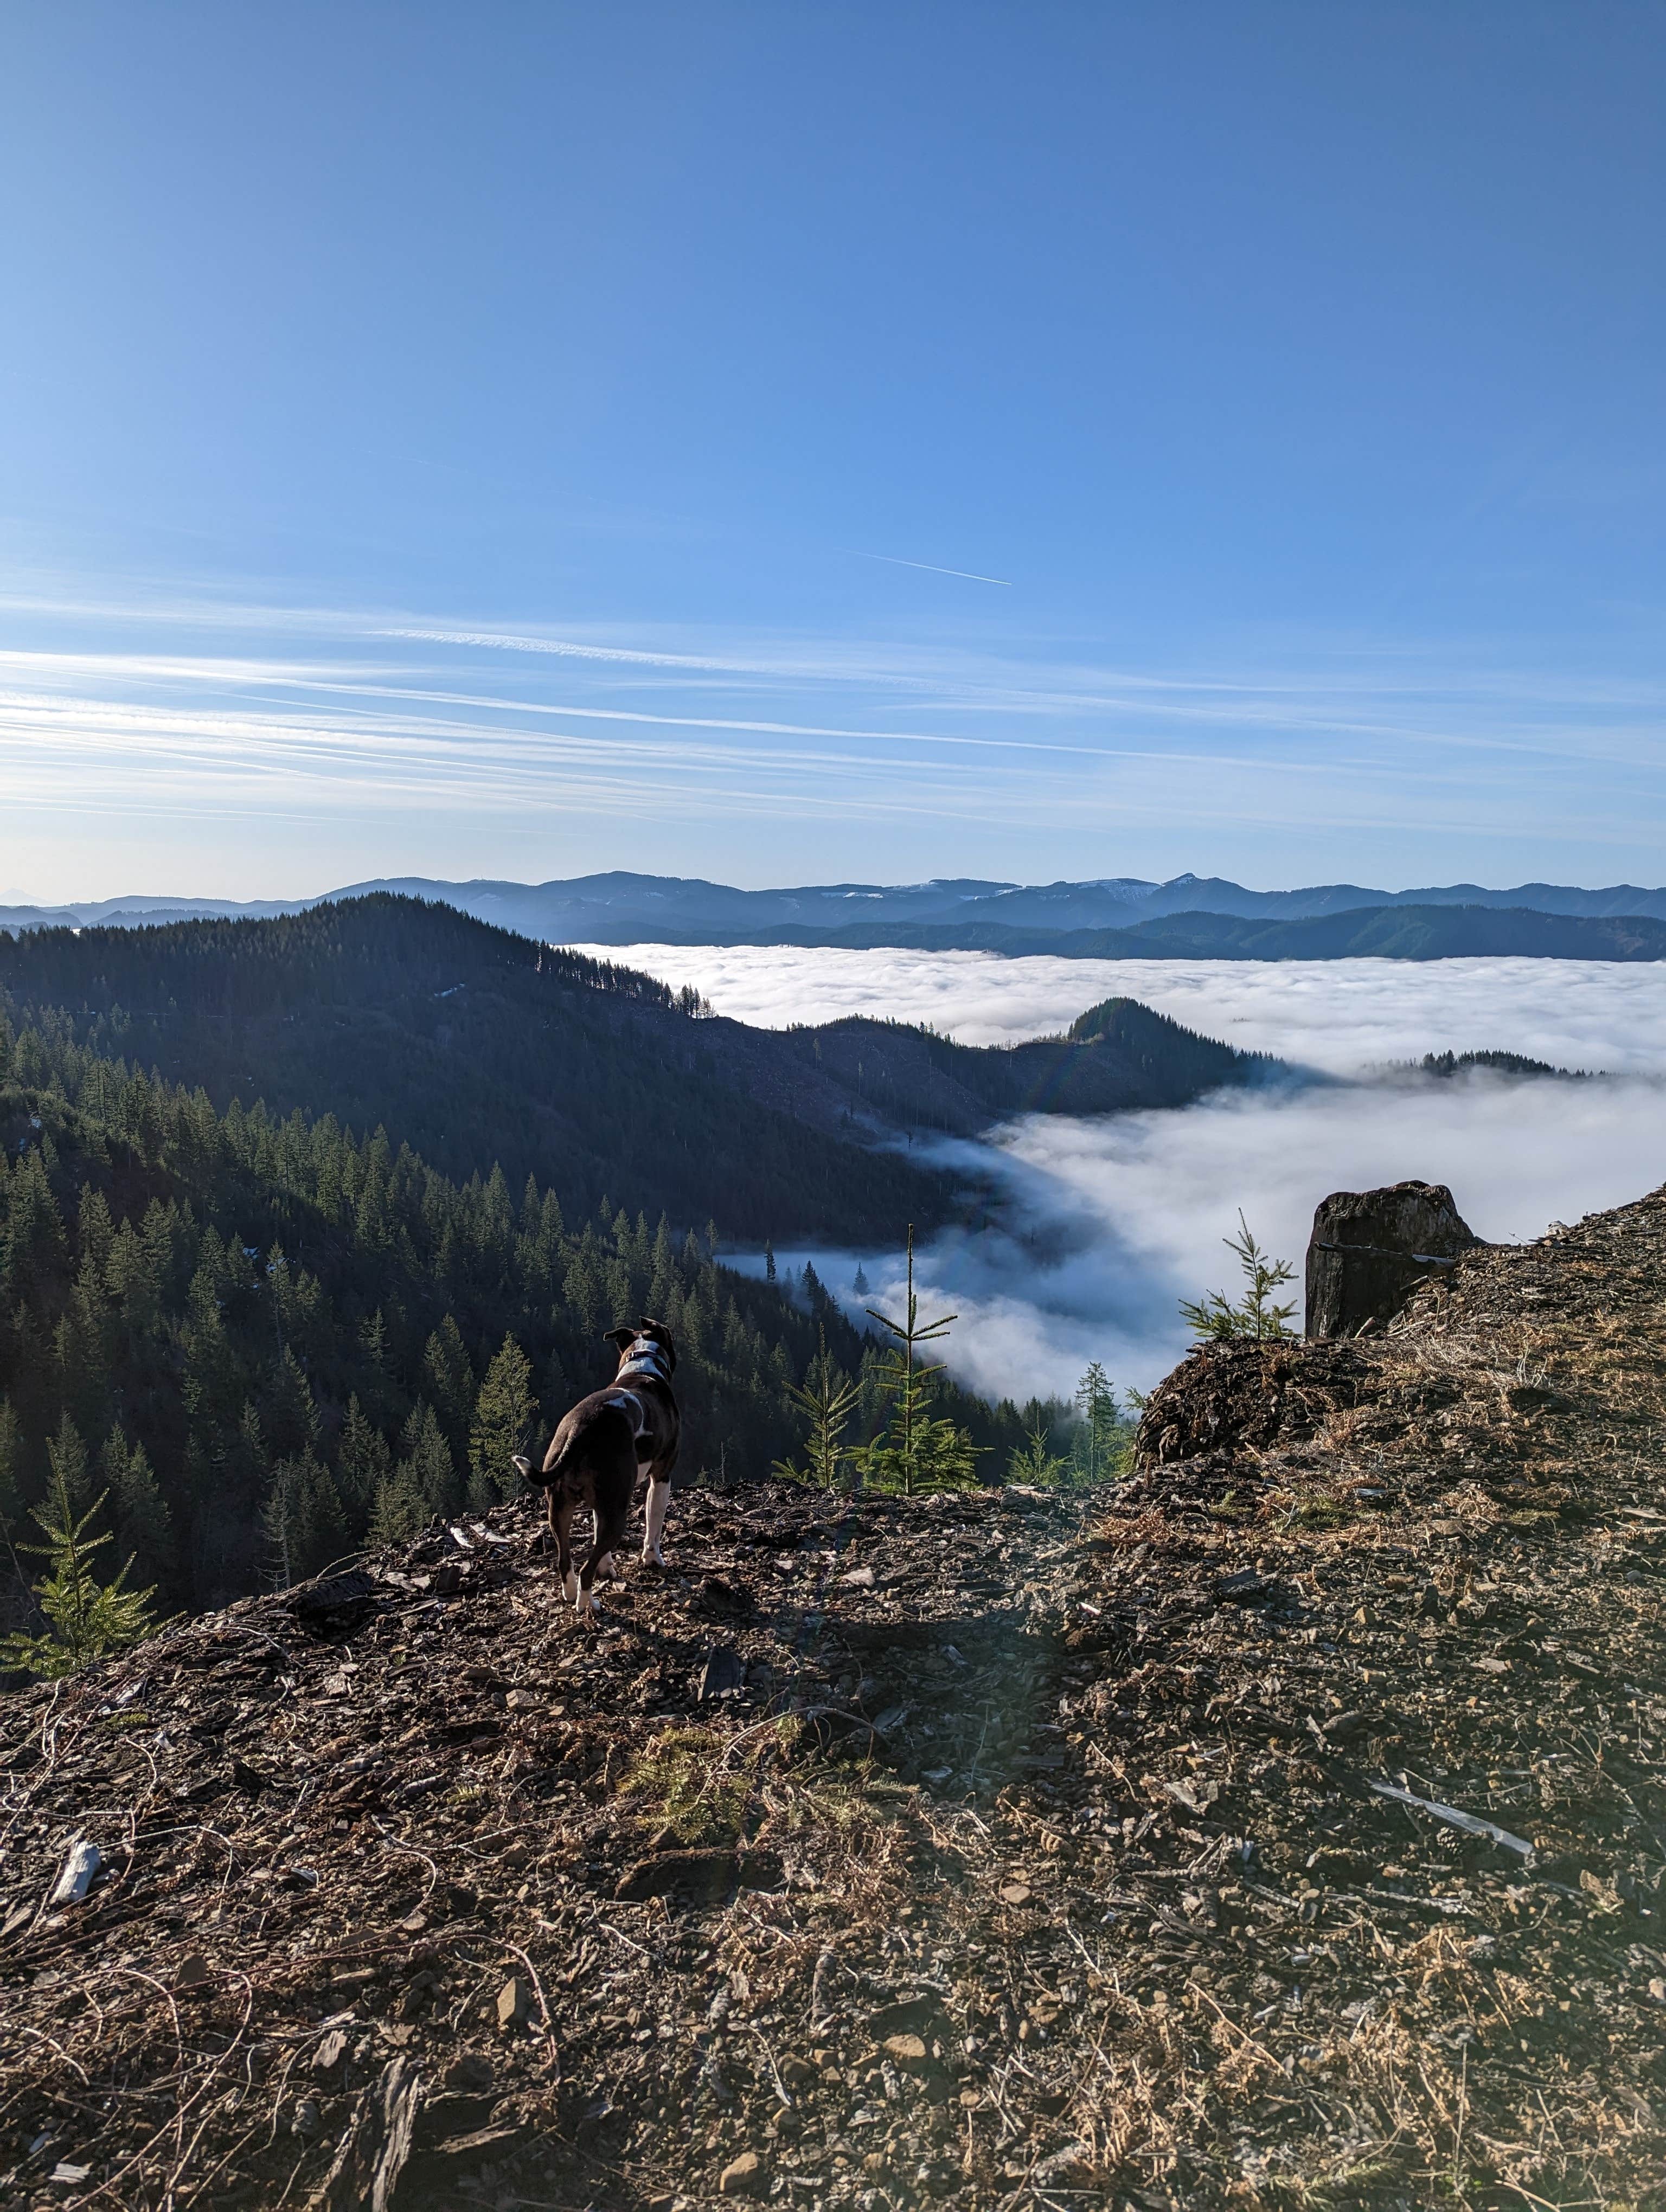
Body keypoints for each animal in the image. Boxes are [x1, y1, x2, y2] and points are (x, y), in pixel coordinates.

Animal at [513, 1301, 681, 1619]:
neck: (643, 1364)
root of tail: (581, 1429)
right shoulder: (662, 1476)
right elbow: (654, 1523)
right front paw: (652, 1559)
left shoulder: (600, 1503)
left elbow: (595, 1536)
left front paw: (609, 1567)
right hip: (617, 1511)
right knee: (585, 1570)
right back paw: (587, 1603)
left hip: (560, 1507)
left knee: (565, 1561)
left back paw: (570, 1595)